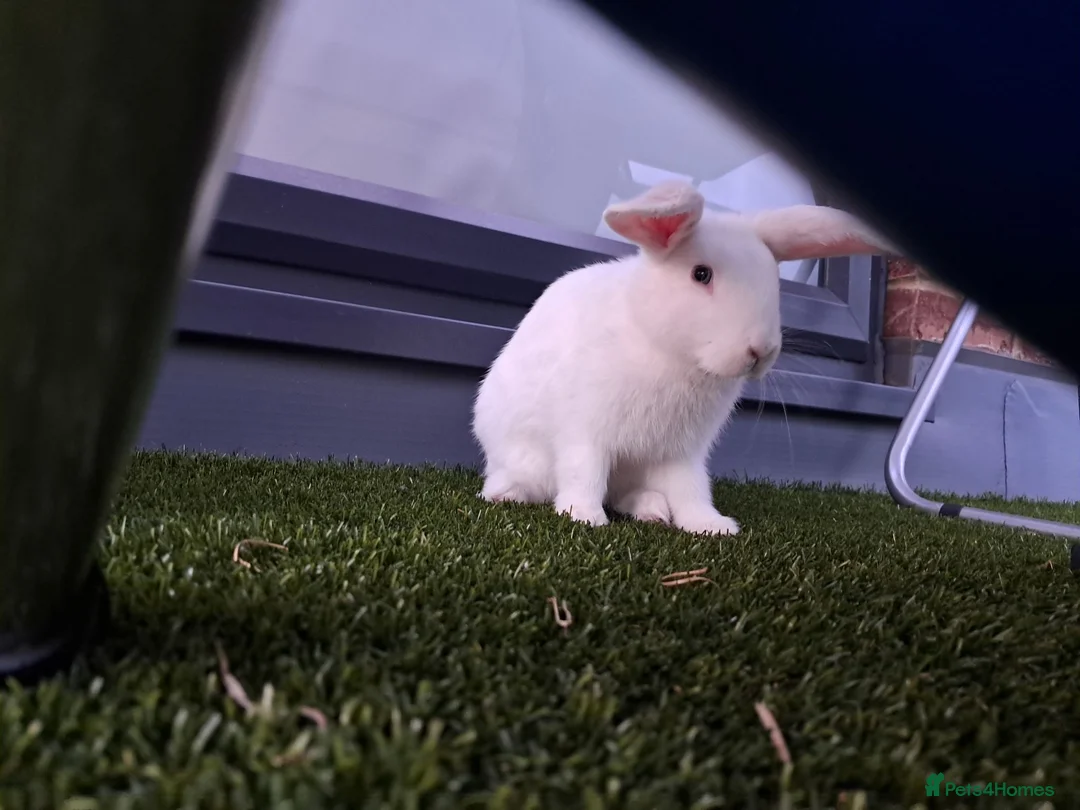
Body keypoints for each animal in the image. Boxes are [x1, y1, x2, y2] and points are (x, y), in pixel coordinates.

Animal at [471, 180, 894, 535]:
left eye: (774, 283)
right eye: (701, 274)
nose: (760, 351)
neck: (667, 351)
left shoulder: (683, 452)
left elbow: (692, 489)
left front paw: (712, 526)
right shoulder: (585, 431)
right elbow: (584, 474)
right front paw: (585, 518)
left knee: (626, 494)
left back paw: (652, 511)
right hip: (526, 456)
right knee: (528, 482)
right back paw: (506, 493)